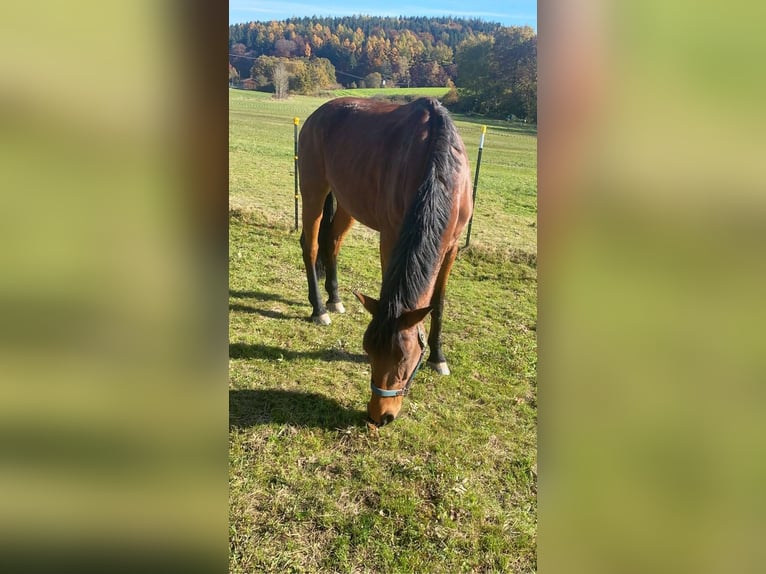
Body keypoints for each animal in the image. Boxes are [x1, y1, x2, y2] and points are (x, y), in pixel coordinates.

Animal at [300, 97, 474, 428]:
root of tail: (320, 112)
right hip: (313, 189)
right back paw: (319, 309)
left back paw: (334, 299)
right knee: (311, 245)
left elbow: (439, 302)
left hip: (347, 202)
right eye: (368, 351)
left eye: (405, 358)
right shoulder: (391, 236)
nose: (380, 416)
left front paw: (438, 357)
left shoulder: (452, 247)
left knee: (332, 242)